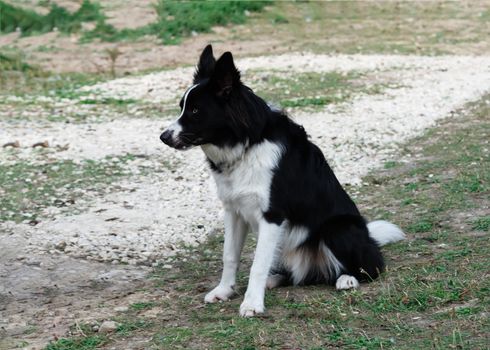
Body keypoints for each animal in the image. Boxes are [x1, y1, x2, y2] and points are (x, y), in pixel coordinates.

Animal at [159, 45, 404, 316]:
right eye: (182, 107)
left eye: (195, 110)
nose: (163, 137)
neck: (247, 145)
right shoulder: (234, 210)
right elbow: (229, 256)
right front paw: (224, 291)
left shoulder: (272, 216)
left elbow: (257, 264)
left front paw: (252, 303)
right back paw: (275, 279)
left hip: (339, 228)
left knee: (371, 267)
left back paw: (348, 279)